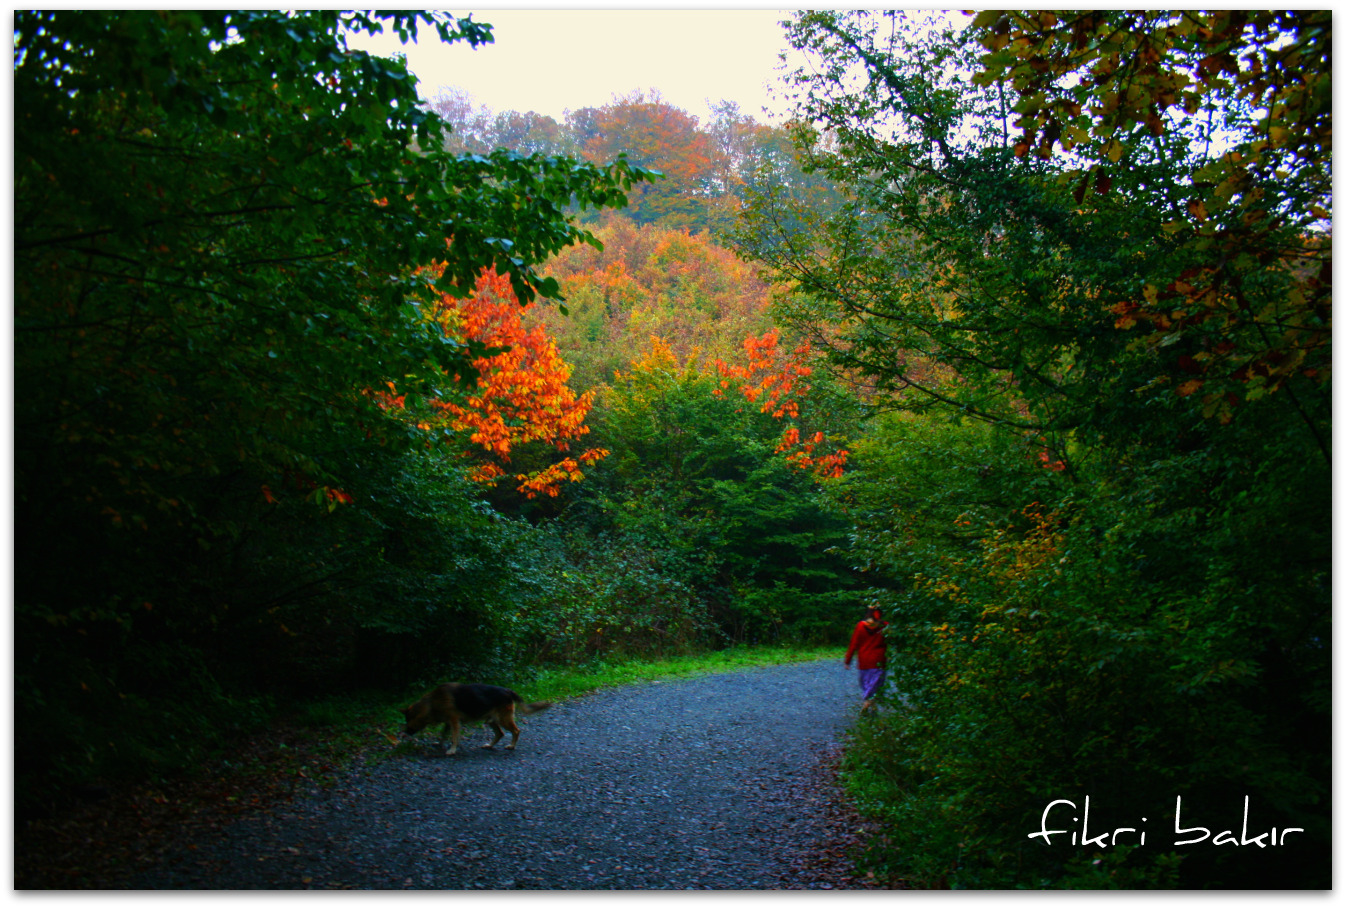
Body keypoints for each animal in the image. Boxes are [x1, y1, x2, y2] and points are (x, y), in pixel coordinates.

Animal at [398, 686, 551, 758]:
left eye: (408, 721)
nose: (405, 732)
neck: (431, 704)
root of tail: (508, 690)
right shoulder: (448, 722)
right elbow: (443, 735)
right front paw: (440, 744)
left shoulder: (454, 721)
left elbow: (454, 738)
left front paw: (452, 750)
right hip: (491, 720)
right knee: (500, 733)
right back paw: (489, 745)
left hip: (503, 719)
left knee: (516, 730)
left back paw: (512, 746)